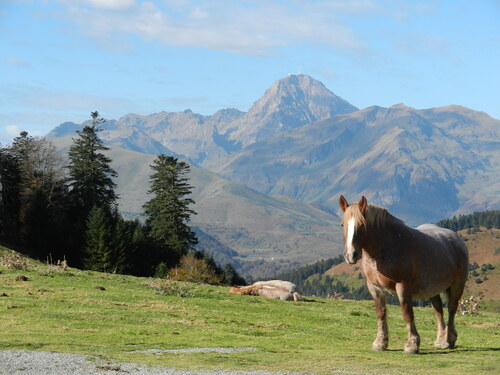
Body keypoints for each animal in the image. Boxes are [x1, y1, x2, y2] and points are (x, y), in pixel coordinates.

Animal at [338, 197, 466, 356]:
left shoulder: (403, 286)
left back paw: (449, 340)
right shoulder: (374, 287)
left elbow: (407, 314)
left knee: (451, 309)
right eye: (342, 224)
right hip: (432, 290)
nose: (351, 255)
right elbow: (380, 313)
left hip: (457, 285)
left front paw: (412, 345)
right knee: (438, 310)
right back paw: (441, 340)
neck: (386, 247)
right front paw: (380, 343)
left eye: (362, 225)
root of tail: (456, 239)